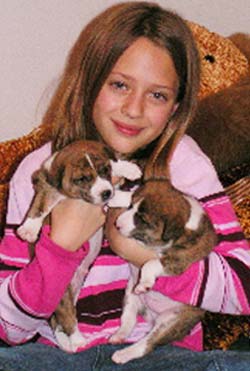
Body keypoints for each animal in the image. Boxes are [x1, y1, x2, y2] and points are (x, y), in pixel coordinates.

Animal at [17, 141, 143, 354]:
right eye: (82, 179)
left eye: (104, 170)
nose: (106, 192)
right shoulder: (46, 186)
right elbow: (39, 206)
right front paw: (29, 229)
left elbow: (114, 165)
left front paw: (127, 168)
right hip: (62, 295)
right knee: (67, 319)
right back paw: (76, 342)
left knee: (60, 321)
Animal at [109, 179, 217, 364]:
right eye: (130, 207)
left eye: (142, 219)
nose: (117, 224)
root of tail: (152, 317)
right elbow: (131, 194)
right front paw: (117, 196)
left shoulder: (178, 261)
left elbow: (151, 264)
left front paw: (145, 282)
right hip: (130, 296)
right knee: (128, 320)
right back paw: (119, 335)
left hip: (170, 323)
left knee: (147, 344)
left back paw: (123, 354)